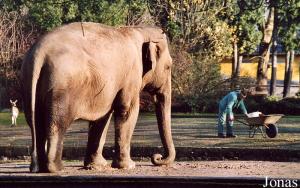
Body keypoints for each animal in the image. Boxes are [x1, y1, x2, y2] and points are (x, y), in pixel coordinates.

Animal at [21, 21, 176, 172]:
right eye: (168, 67)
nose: (157, 157)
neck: (139, 30)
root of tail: (40, 53)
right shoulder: (131, 75)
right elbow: (127, 111)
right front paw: (129, 166)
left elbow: (102, 118)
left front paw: (97, 166)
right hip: (61, 88)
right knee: (57, 123)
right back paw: (57, 168)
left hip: (30, 85)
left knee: (35, 122)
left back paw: (38, 168)